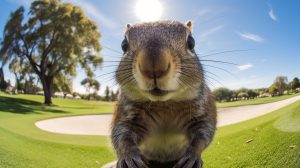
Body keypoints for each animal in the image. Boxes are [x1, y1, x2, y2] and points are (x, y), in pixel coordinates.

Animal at [105, 20, 216, 168]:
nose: (153, 65)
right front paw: (129, 157)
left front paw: (192, 156)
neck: (165, 104)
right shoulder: (125, 113)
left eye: (191, 42)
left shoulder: (203, 109)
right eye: (123, 45)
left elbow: (204, 133)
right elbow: (121, 135)